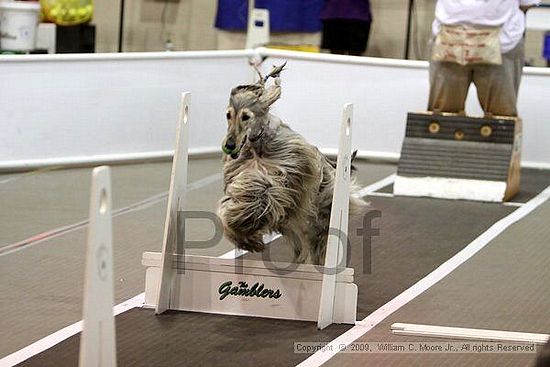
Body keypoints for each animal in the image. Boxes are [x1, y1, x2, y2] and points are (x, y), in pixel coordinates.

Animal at [218, 64, 368, 264]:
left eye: (246, 116)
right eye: (228, 115)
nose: (229, 145)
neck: (258, 147)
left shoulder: (287, 172)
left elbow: (263, 190)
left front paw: (246, 228)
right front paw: (243, 235)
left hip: (321, 214)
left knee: (318, 239)